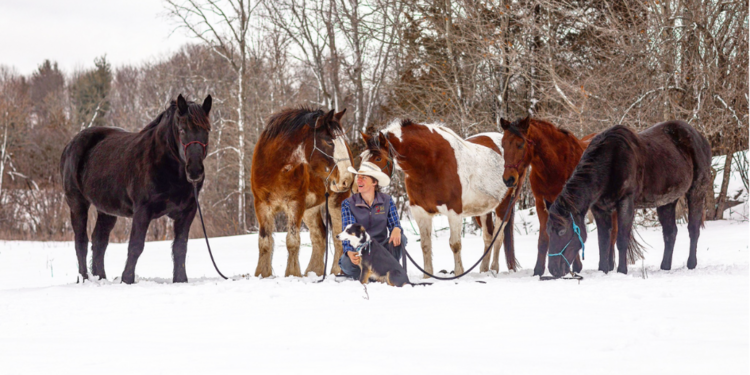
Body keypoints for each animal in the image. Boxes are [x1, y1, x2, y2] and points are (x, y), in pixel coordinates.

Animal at [59, 94, 213, 284]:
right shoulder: (142, 211)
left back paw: (100, 277)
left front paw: (180, 280)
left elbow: (180, 247)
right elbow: (136, 246)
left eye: (207, 130)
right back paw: (84, 279)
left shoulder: (187, 212)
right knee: (81, 242)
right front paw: (127, 280)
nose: (195, 171)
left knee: (99, 241)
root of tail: (70, 145)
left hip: (107, 210)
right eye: (182, 130)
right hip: (77, 204)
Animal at [253, 107, 356, 278]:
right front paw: (262, 274)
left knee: (337, 236)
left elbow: (292, 241)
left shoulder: (295, 205)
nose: (347, 179)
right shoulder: (262, 206)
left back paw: (336, 271)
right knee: (319, 235)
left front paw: (292, 273)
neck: (275, 169)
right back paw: (313, 271)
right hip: (310, 209)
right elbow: (264, 242)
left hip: (336, 202)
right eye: (329, 141)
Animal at [360, 119, 516, 276]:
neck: (431, 163)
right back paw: (484, 270)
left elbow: (455, 244)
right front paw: (427, 276)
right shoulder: (420, 212)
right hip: (483, 210)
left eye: (378, 158)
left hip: (504, 205)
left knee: (498, 237)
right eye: (362, 157)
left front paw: (458, 273)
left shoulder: (454, 212)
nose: (361, 179)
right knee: (488, 237)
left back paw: (494, 269)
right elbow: (425, 245)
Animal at [548, 121, 712, 280]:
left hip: (696, 191)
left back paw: (691, 264)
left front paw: (622, 271)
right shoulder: (600, 209)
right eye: (548, 231)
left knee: (693, 229)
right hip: (667, 201)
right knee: (670, 233)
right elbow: (603, 242)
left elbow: (621, 239)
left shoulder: (625, 203)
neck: (610, 163)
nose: (553, 270)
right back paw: (665, 267)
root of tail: (701, 137)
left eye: (562, 231)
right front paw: (603, 270)